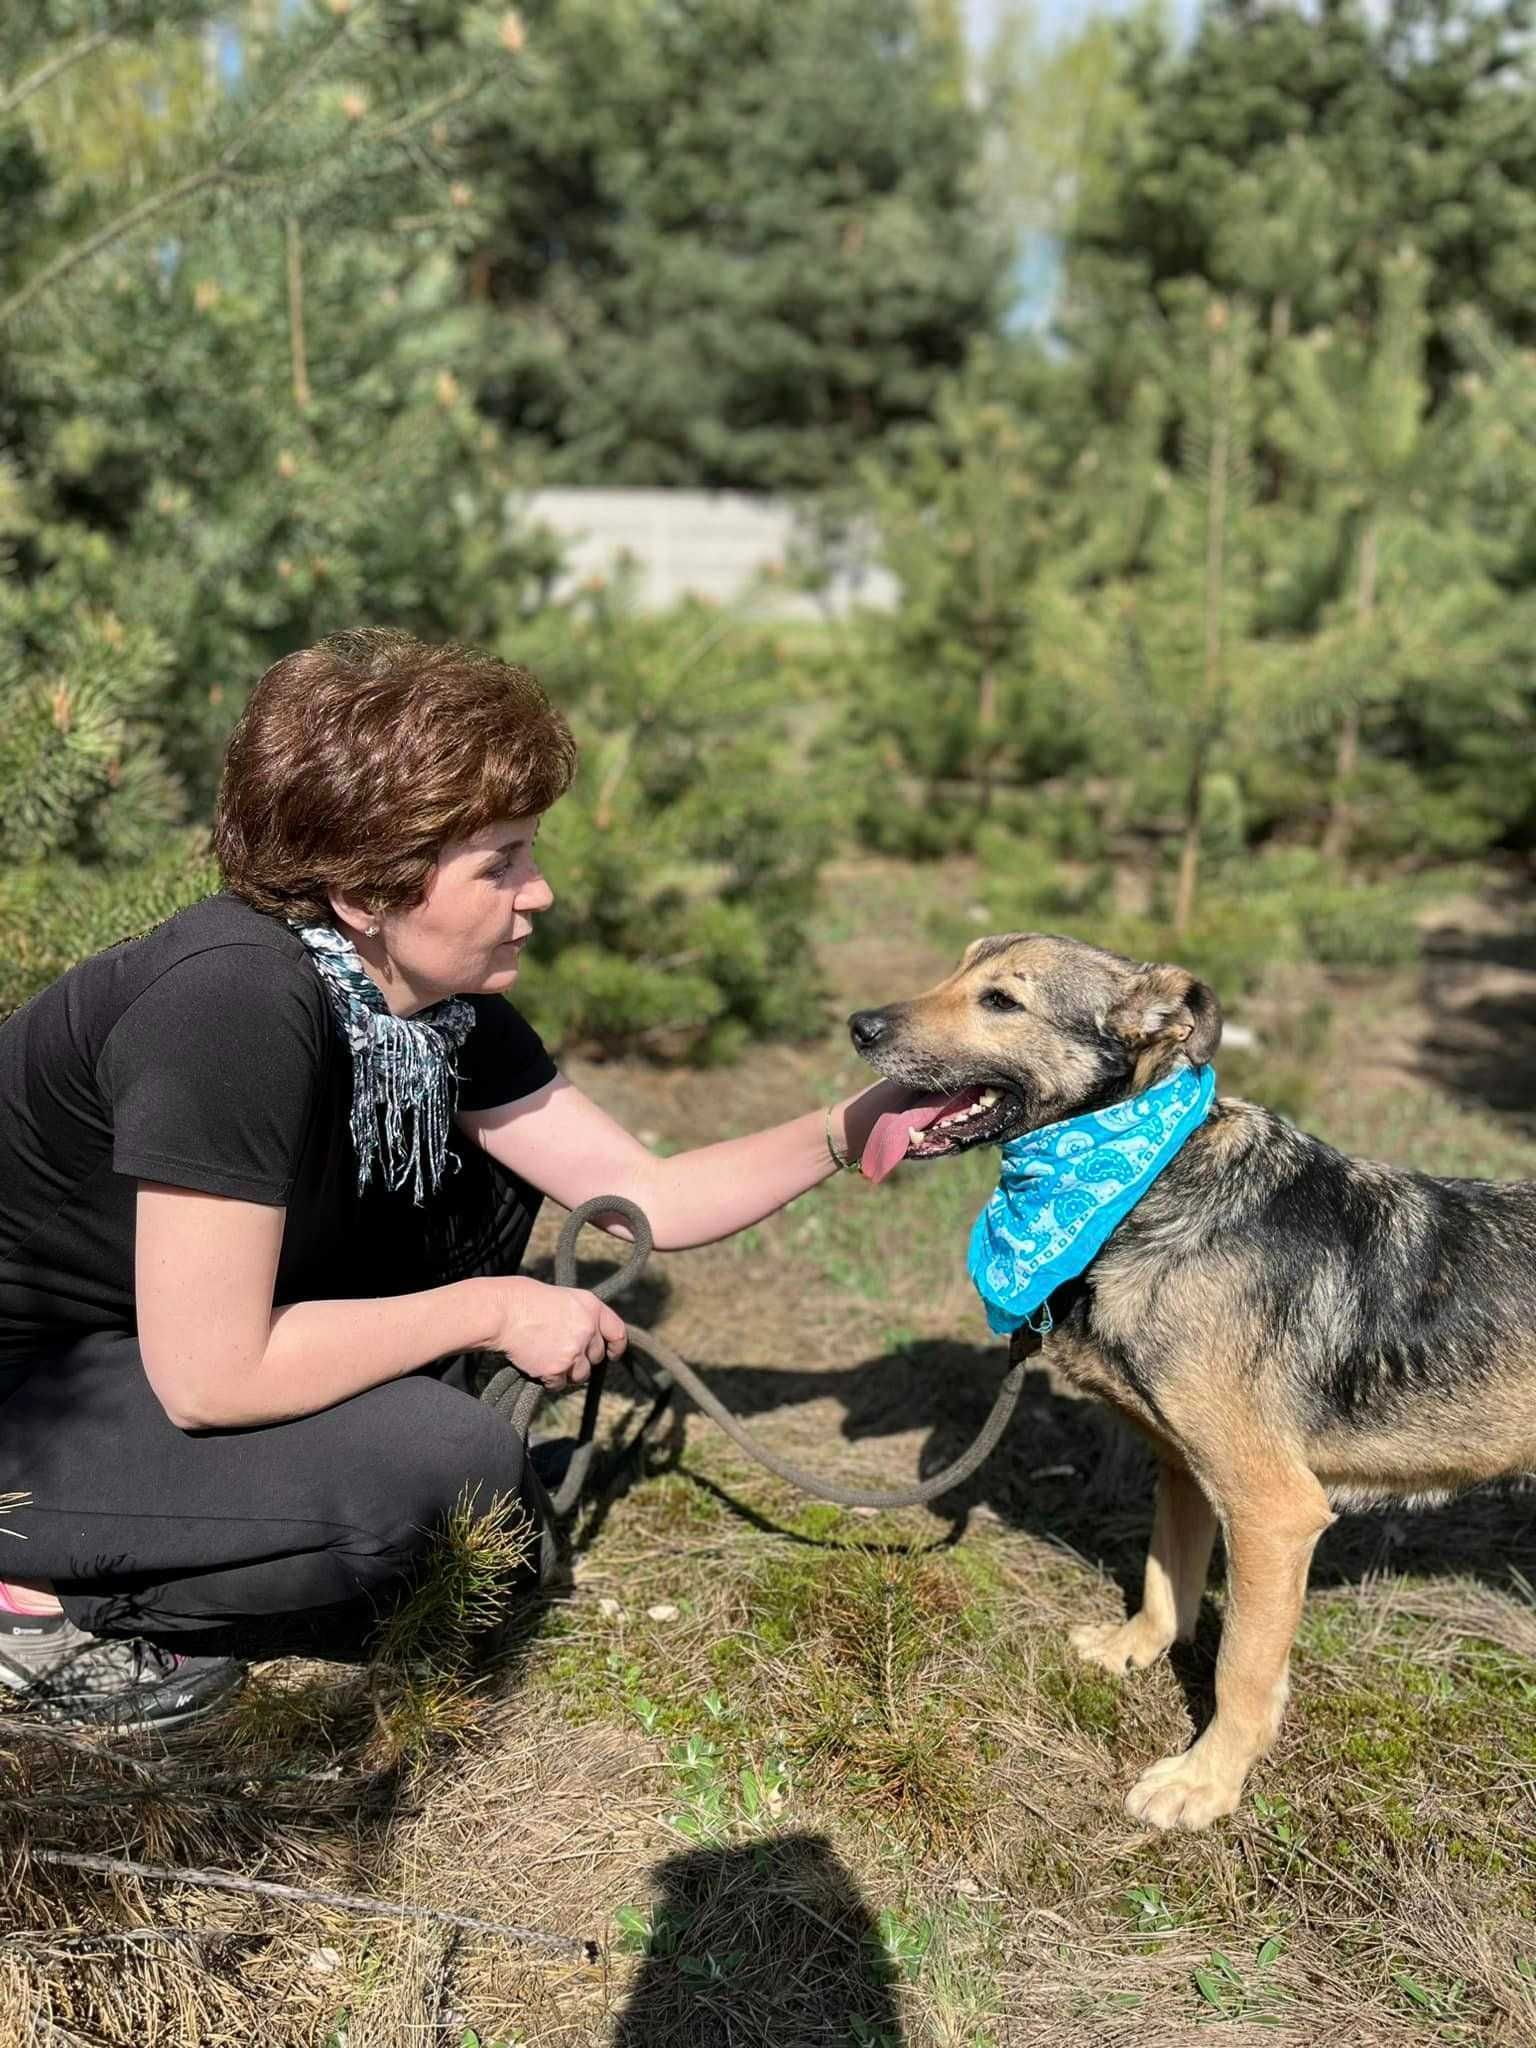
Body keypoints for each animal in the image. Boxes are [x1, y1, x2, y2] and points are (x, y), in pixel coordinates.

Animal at [847, 937, 1536, 1835]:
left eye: (1000, 1001)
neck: (1144, 1179)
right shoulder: (1184, 1470)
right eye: (955, 971)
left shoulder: (1274, 1512)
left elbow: (1240, 1667)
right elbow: (1163, 1578)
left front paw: (1206, 1783)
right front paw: (1133, 1650)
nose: (858, 1026)